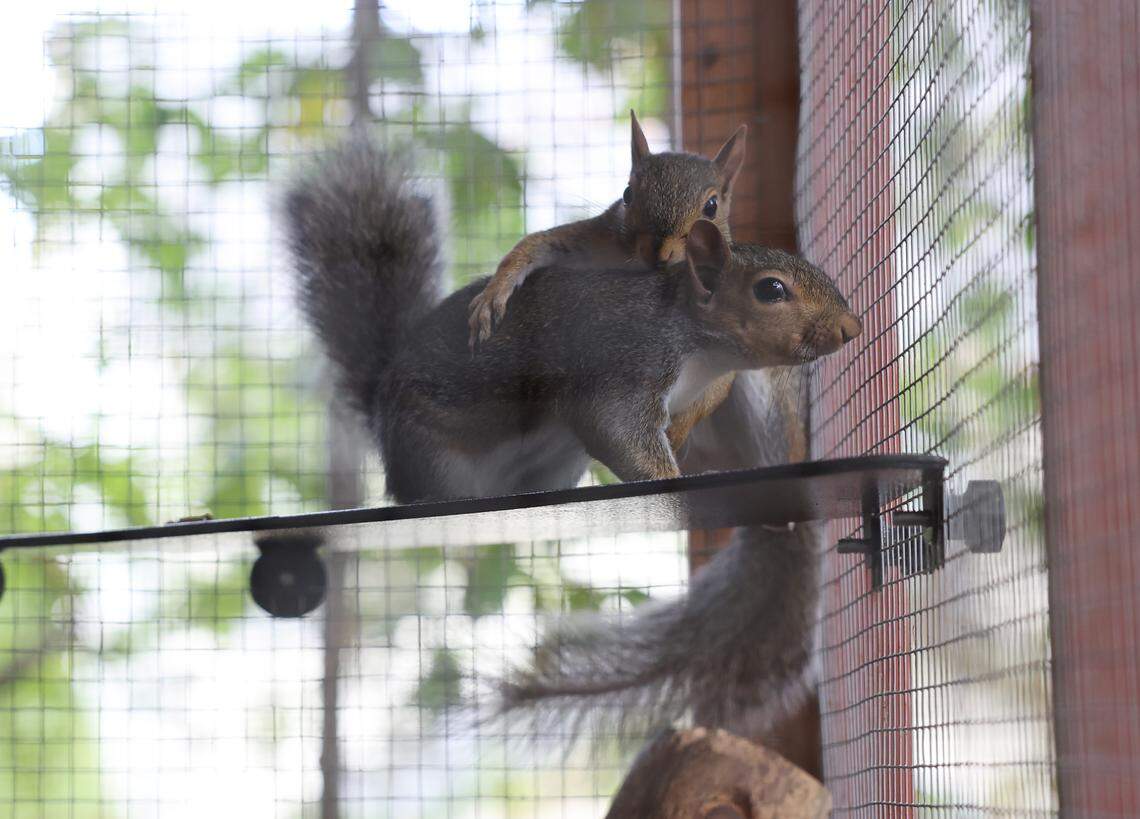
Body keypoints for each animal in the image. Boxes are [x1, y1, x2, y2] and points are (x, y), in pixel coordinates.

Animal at [285, 137, 862, 505]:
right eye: (771, 289)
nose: (850, 329)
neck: (703, 355)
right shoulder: (628, 364)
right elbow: (616, 429)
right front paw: (672, 475)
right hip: (433, 457)